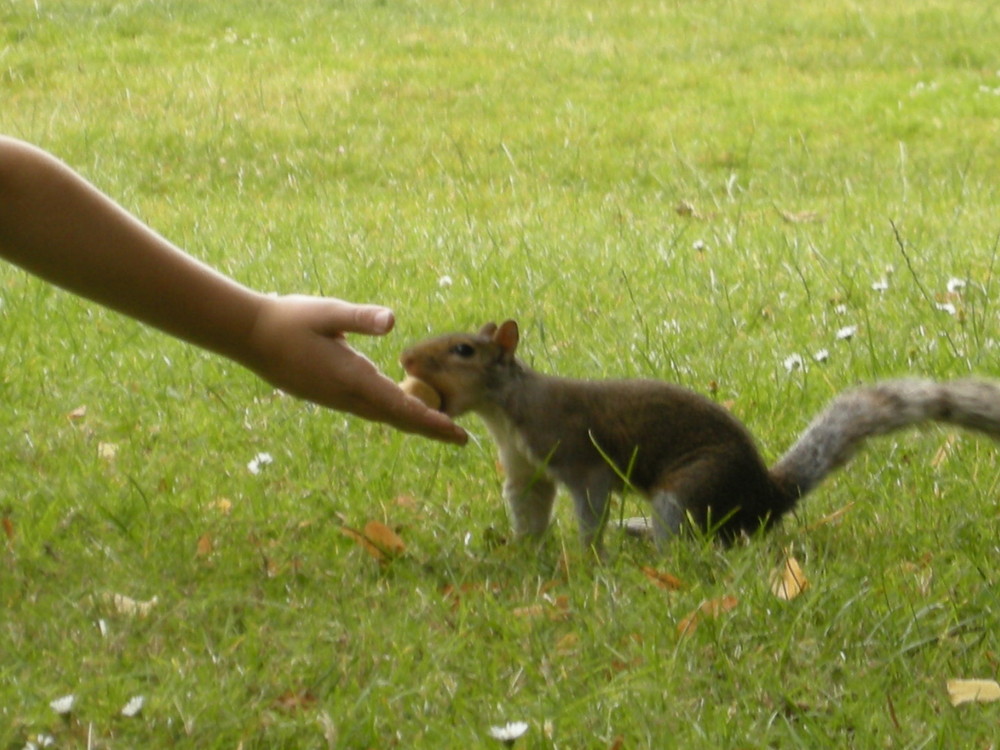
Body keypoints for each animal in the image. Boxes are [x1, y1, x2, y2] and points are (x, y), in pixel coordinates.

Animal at [400, 320, 1000, 556]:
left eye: (463, 351)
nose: (405, 359)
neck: (506, 411)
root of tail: (766, 498)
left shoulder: (578, 454)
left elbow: (590, 504)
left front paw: (587, 555)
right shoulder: (526, 470)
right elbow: (527, 506)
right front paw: (525, 547)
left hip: (690, 490)